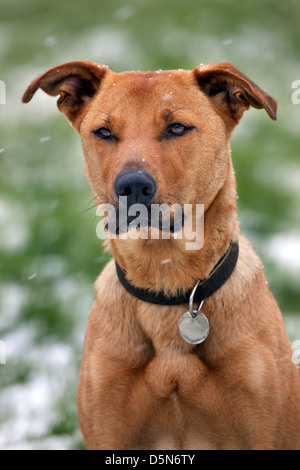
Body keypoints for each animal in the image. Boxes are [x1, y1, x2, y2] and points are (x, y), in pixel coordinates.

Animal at [22, 60, 300, 450]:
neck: (166, 280)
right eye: (104, 132)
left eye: (177, 127)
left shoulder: (263, 426)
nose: (132, 185)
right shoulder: (108, 423)